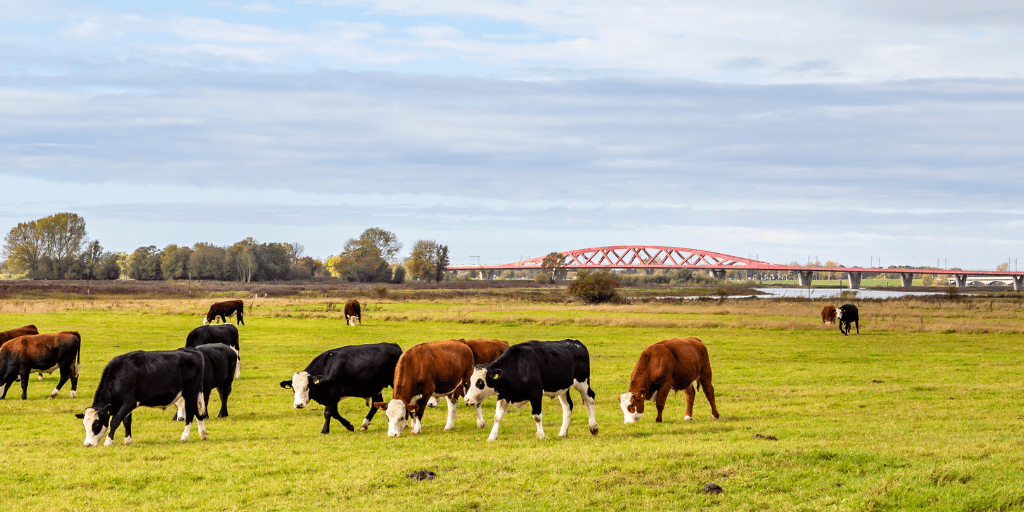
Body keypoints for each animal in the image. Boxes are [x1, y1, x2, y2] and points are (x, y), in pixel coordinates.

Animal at [74, 350, 207, 446]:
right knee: (198, 413)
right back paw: (203, 434)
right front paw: (127, 440)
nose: (87, 444)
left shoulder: (129, 402)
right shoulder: (125, 406)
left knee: (190, 414)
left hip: (190, 393)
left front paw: (108, 441)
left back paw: (184, 437)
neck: (118, 376)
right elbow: (126, 421)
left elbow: (115, 421)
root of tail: (193, 353)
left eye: (96, 425)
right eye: (84, 425)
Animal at [462, 339, 598, 440]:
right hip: (563, 389)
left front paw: (541, 435)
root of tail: (576, 343)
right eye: (470, 381)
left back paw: (593, 427)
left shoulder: (536, 394)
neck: (518, 365)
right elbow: (497, 417)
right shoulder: (503, 395)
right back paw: (563, 433)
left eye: (480, 382)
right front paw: (492, 436)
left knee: (590, 399)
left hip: (583, 383)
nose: (466, 399)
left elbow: (537, 416)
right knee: (567, 406)